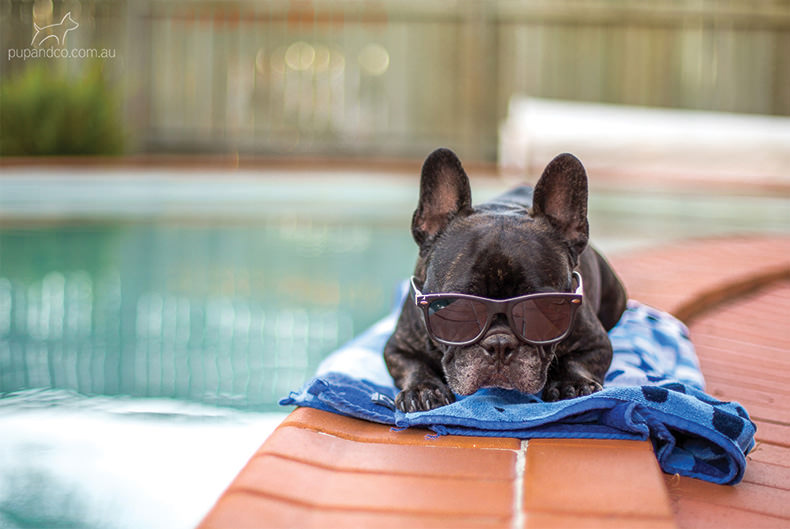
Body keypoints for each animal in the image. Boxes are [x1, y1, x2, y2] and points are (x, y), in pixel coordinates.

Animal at [386, 148, 628, 412]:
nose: (500, 344)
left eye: (541, 309)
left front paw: (573, 383)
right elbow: (414, 366)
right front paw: (422, 389)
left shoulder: (596, 342)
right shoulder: (398, 348)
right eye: (458, 309)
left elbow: (576, 361)